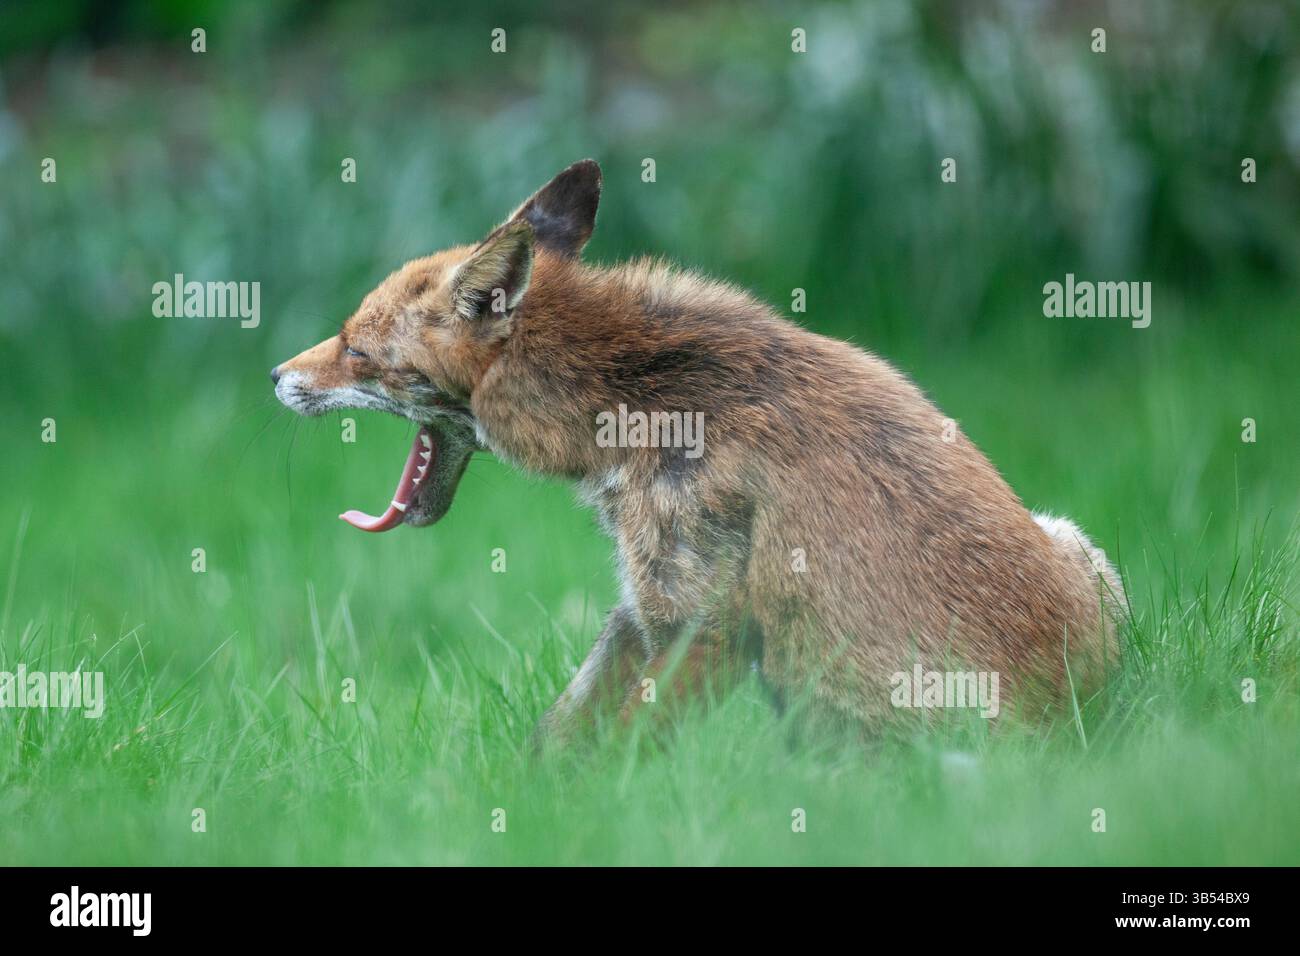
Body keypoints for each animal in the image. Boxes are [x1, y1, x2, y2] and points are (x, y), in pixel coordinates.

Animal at [273, 159, 1126, 743]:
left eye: (353, 349)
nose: (276, 376)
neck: (633, 392)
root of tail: (1067, 734)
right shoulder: (637, 607)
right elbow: (555, 737)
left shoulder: (700, 624)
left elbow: (621, 752)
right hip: (1079, 545)